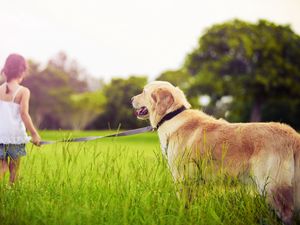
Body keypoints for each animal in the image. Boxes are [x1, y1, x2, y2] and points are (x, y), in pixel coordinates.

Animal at [132, 80, 300, 223]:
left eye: (143, 91)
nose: (131, 98)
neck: (171, 116)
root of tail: (292, 135)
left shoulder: (182, 178)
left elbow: (184, 205)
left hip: (272, 187)